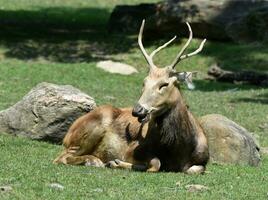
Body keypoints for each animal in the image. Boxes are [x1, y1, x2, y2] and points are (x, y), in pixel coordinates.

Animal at [54, 19, 209, 174]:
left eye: (164, 84)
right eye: (144, 82)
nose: (138, 110)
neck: (178, 150)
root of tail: (67, 135)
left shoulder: (203, 160)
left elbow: (195, 169)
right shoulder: (132, 150)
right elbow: (156, 163)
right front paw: (115, 162)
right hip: (91, 127)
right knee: (61, 157)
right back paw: (94, 161)